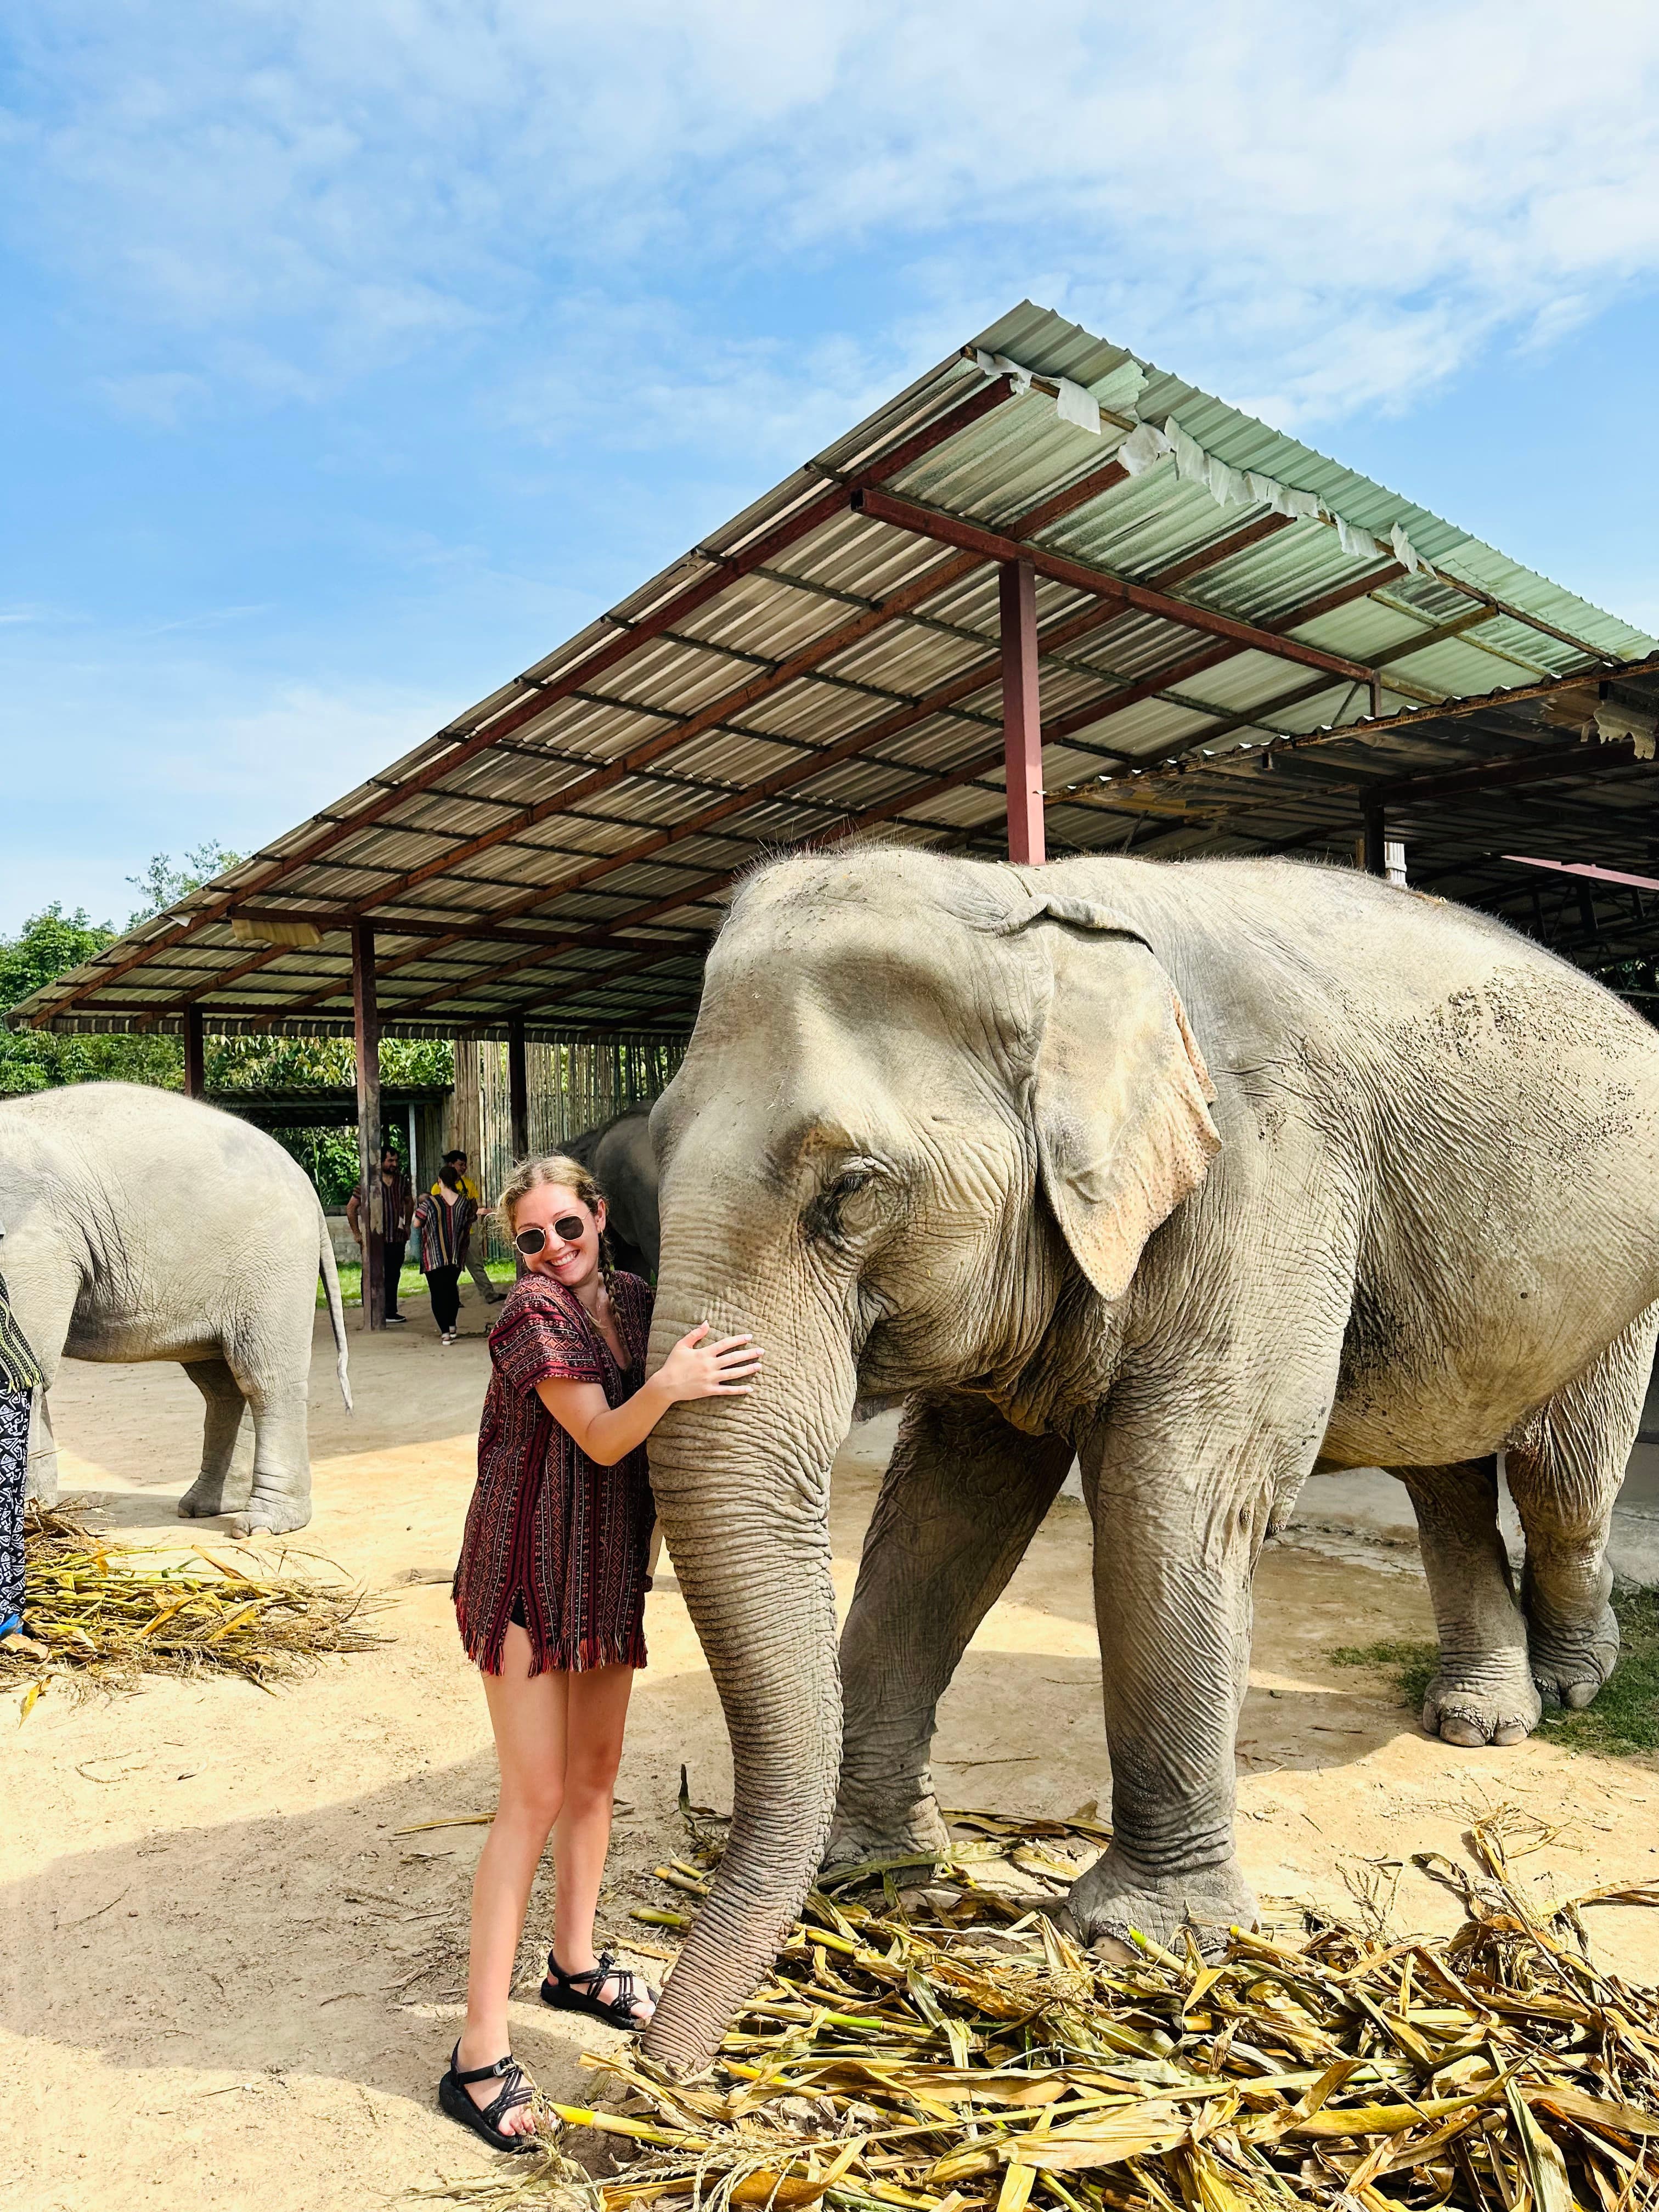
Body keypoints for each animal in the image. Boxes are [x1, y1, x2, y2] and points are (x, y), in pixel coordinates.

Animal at [2, 1082, 351, 1537]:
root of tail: (308, 1189)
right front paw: (37, 1515)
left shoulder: (34, 1242)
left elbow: (24, 1374)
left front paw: (32, 1518)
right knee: (222, 1384)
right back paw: (207, 1505)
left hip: (273, 1269)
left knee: (265, 1379)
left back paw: (262, 1523)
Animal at [638, 844, 1659, 2073]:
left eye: (850, 1192)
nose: (653, 2068)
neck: (1030, 907)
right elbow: (944, 1510)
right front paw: (876, 1872)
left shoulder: (1264, 1170)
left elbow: (1173, 1499)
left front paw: (1143, 1941)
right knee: (1444, 1467)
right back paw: (1479, 1717)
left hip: (1619, 1285)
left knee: (1561, 1481)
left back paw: (1565, 1686)